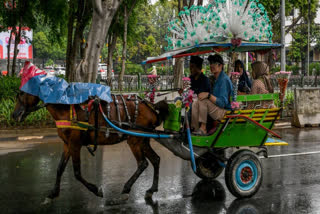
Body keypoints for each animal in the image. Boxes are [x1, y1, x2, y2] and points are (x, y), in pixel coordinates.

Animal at [12, 90, 169, 204]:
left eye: (22, 94)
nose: (14, 115)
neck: (66, 109)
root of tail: (151, 107)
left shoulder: (75, 144)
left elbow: (77, 173)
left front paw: (96, 190)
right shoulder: (67, 144)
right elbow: (60, 169)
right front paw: (52, 194)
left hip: (134, 139)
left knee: (142, 163)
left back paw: (125, 190)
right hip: (143, 140)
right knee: (156, 159)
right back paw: (151, 190)